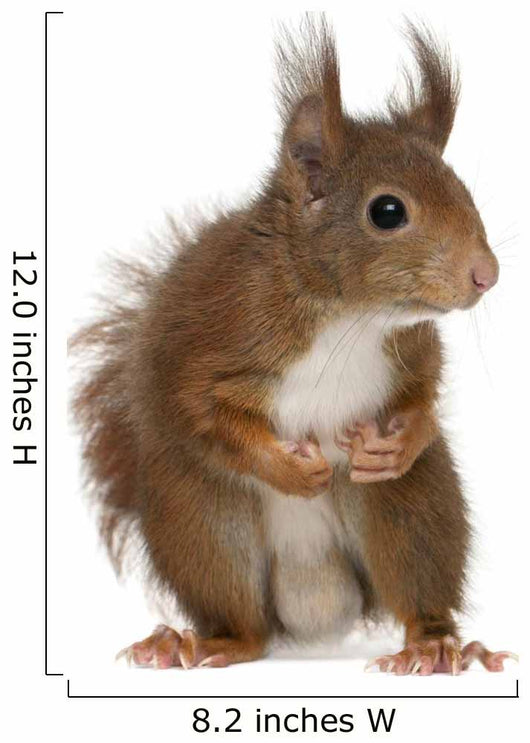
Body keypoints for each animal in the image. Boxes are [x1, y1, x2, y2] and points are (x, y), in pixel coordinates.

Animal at [71, 16, 517, 674]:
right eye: (387, 211)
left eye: (461, 189)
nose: (486, 275)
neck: (347, 313)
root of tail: (316, 607)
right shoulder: (213, 336)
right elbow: (201, 411)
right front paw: (290, 468)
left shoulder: (413, 346)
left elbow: (422, 396)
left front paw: (400, 442)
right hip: (205, 521)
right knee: (246, 625)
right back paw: (194, 642)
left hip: (410, 509)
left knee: (415, 577)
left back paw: (434, 645)